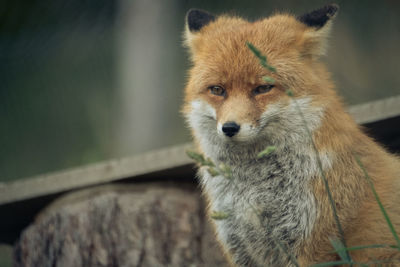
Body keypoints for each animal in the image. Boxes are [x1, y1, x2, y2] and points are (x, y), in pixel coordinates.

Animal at [183, 4, 400, 267]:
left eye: (263, 88)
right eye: (217, 90)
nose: (230, 128)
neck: (254, 191)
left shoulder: (314, 243)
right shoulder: (241, 249)